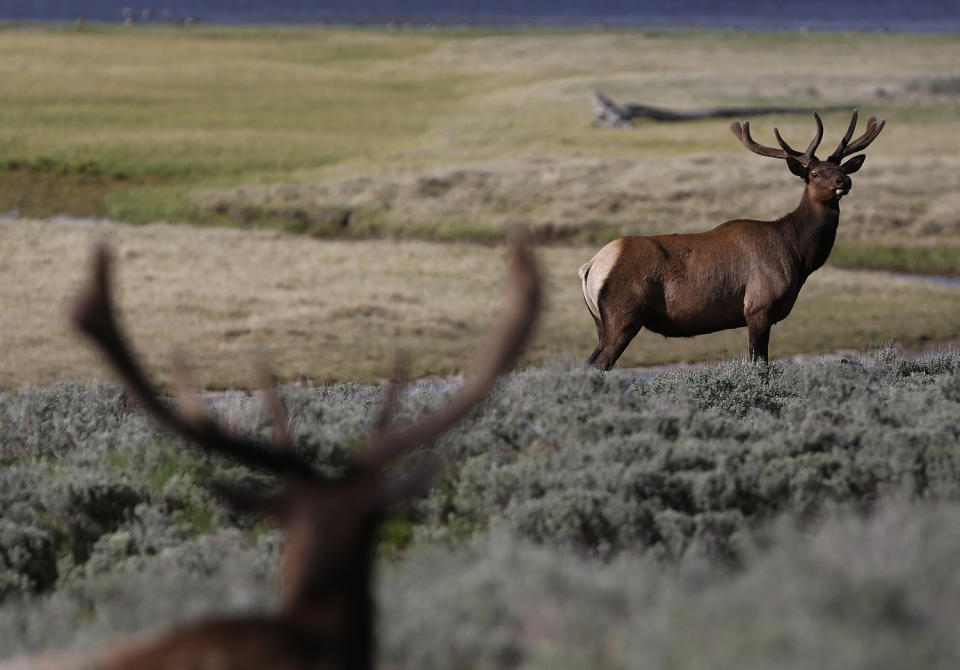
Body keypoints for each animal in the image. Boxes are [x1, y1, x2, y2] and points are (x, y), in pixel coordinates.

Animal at [576, 111, 884, 372]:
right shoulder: (758, 308)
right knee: (598, 365)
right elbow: (759, 364)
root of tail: (590, 266)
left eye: (842, 168)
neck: (798, 255)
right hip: (622, 316)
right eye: (814, 173)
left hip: (601, 322)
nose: (844, 181)